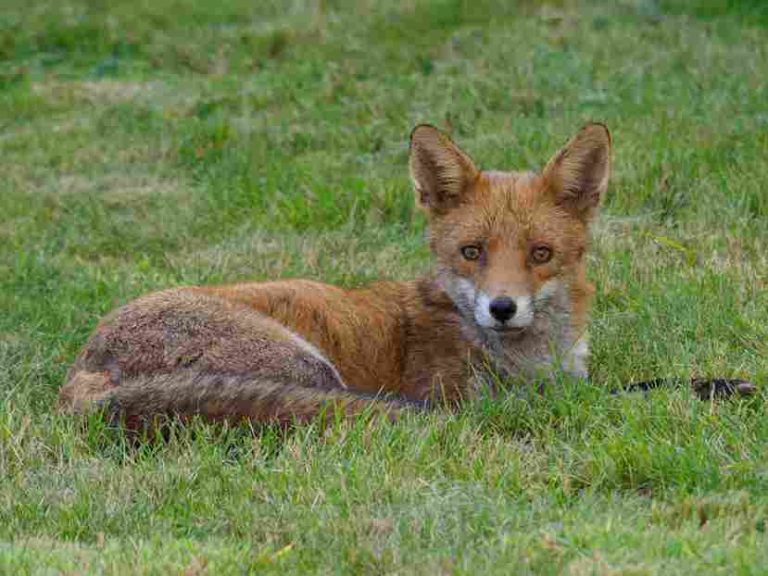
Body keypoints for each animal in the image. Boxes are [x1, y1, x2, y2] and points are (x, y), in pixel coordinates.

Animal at [57, 124, 752, 426]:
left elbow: (635, 383)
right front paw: (710, 391)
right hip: (310, 369)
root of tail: (83, 368)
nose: (502, 308)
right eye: (472, 252)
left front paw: (714, 384)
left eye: (540, 254)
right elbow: (617, 396)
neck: (531, 358)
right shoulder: (482, 394)